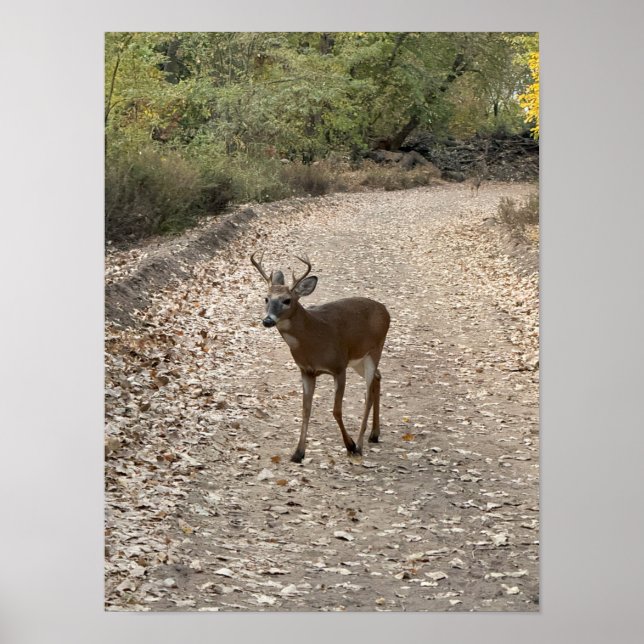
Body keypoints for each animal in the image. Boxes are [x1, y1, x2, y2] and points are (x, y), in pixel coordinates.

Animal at [251, 251, 390, 463]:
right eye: (266, 298)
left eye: (287, 300)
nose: (267, 320)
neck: (314, 339)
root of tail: (386, 311)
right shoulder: (306, 370)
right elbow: (306, 409)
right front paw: (298, 453)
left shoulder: (339, 367)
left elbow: (336, 410)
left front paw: (349, 445)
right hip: (358, 359)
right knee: (377, 378)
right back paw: (374, 434)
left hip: (375, 349)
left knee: (368, 394)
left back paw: (359, 445)